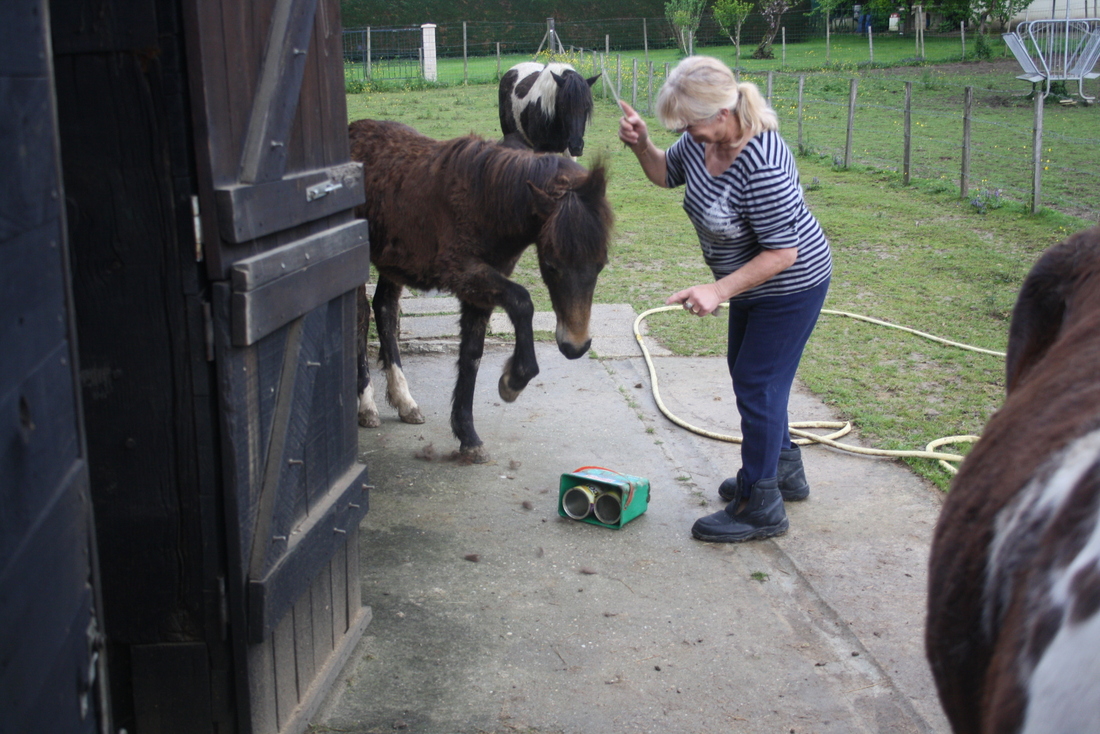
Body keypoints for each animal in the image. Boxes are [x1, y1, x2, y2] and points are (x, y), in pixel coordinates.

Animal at [349, 121, 616, 464]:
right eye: (551, 265)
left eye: (600, 264)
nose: (575, 346)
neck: (484, 200)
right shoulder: (464, 274)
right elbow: (522, 302)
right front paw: (513, 381)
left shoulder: (480, 289)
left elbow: (472, 356)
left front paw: (468, 436)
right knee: (359, 319)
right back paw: (367, 405)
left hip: (392, 263)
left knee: (384, 309)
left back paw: (404, 400)